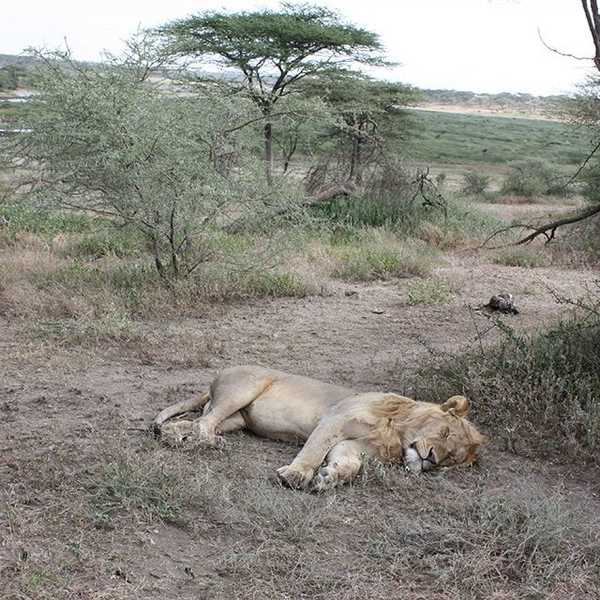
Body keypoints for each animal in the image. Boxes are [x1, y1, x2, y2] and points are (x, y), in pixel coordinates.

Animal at [152, 364, 486, 490]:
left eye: (450, 459)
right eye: (443, 433)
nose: (430, 459)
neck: (396, 434)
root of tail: (217, 377)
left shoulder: (354, 446)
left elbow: (350, 465)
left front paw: (329, 477)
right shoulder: (334, 420)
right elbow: (313, 452)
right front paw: (295, 476)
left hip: (235, 418)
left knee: (193, 423)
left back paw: (179, 437)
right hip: (245, 387)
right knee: (203, 423)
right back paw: (207, 443)